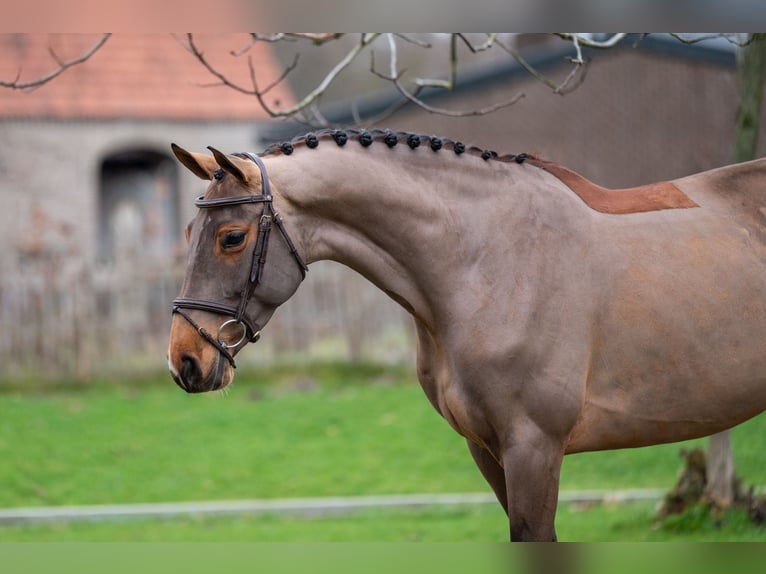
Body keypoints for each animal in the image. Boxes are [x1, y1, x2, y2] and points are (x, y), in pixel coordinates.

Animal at [167, 128, 766, 541]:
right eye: (190, 231)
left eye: (231, 238)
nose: (184, 361)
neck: (481, 261)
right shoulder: (486, 449)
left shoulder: (534, 447)